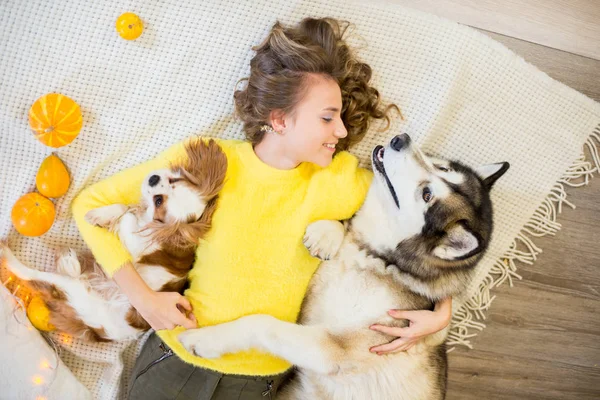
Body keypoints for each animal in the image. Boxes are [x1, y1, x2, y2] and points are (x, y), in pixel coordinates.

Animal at [0, 139, 225, 342]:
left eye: (158, 201)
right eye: (173, 182)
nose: (153, 178)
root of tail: (98, 332)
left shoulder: (140, 243)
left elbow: (128, 216)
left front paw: (109, 216)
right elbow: (125, 209)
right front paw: (102, 215)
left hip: (74, 291)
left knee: (30, 275)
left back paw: (9, 255)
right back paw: (69, 261)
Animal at [180, 135, 508, 400]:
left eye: (427, 195)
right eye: (441, 168)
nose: (401, 139)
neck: (374, 259)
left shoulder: (334, 348)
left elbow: (262, 324)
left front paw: (204, 340)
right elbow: (345, 224)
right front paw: (327, 233)